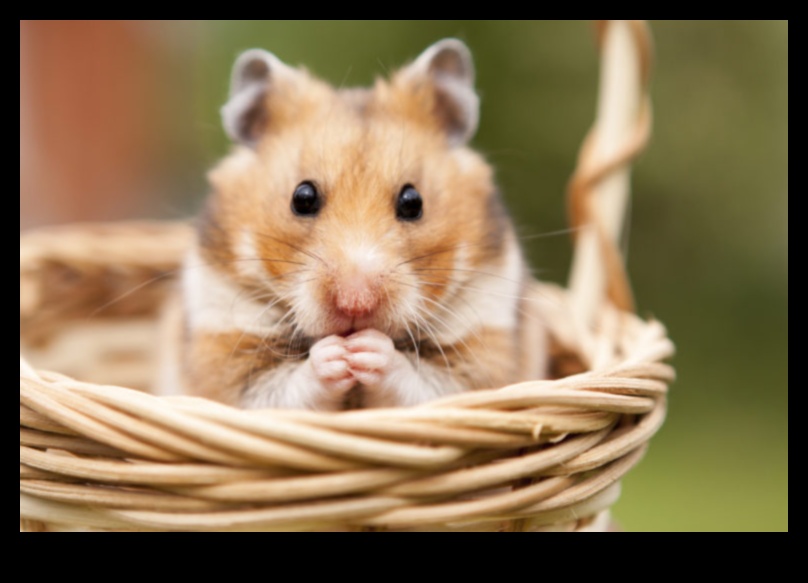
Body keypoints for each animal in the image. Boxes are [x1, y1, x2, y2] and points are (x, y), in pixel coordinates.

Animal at [171, 39, 545, 411]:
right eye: (302, 197)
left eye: (413, 202)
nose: (356, 303)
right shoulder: (224, 350)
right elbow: (280, 389)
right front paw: (337, 355)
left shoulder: (483, 352)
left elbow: (426, 383)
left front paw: (367, 350)